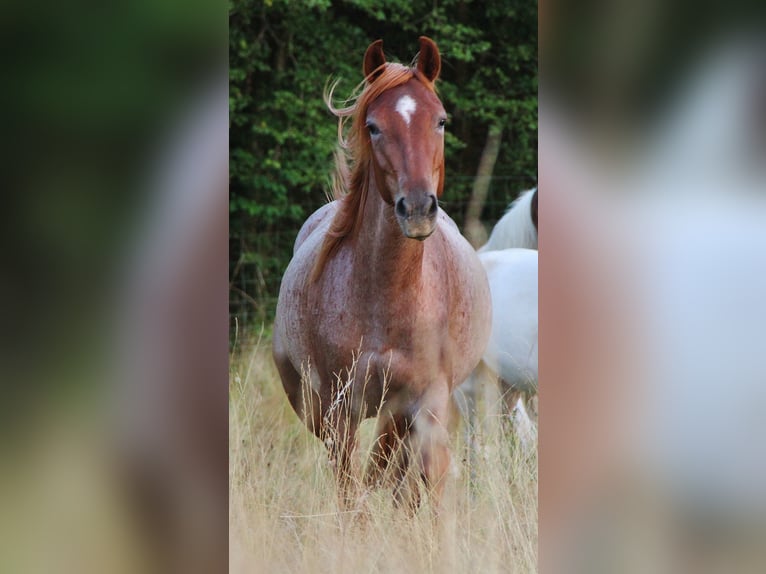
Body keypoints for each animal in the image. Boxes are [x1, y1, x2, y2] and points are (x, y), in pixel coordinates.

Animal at [272, 37, 492, 513]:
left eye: (440, 120)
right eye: (373, 126)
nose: (417, 208)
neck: (385, 296)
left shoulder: (423, 402)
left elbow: (415, 482)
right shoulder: (339, 410)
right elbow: (351, 495)